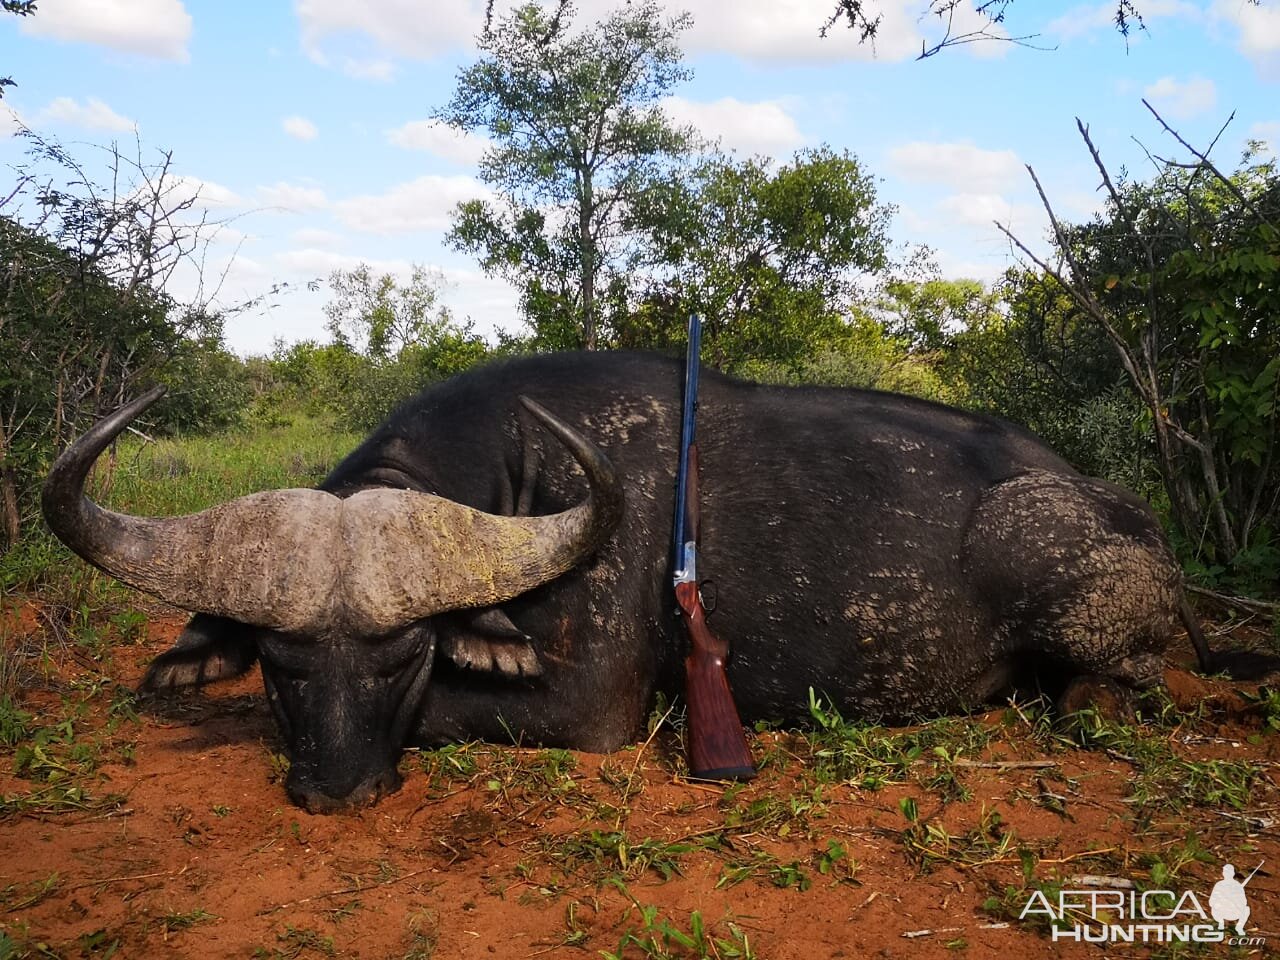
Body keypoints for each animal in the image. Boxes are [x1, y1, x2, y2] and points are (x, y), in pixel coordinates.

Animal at [42, 350, 1208, 814]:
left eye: (403, 658)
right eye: (281, 665)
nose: (335, 792)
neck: (522, 473)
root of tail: (1130, 517)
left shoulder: (589, 707)